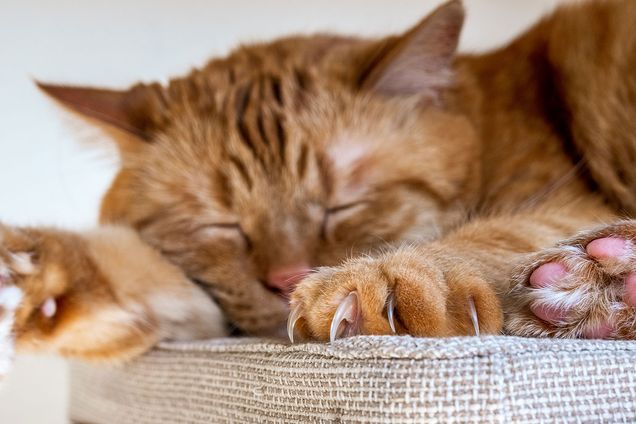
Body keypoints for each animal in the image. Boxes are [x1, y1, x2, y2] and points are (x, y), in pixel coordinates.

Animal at [1, 0, 636, 366]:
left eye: (342, 206)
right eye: (221, 225)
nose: (286, 279)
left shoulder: (566, 200)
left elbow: (503, 233)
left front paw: (401, 274)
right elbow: (141, 278)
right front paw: (31, 275)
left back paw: (608, 280)